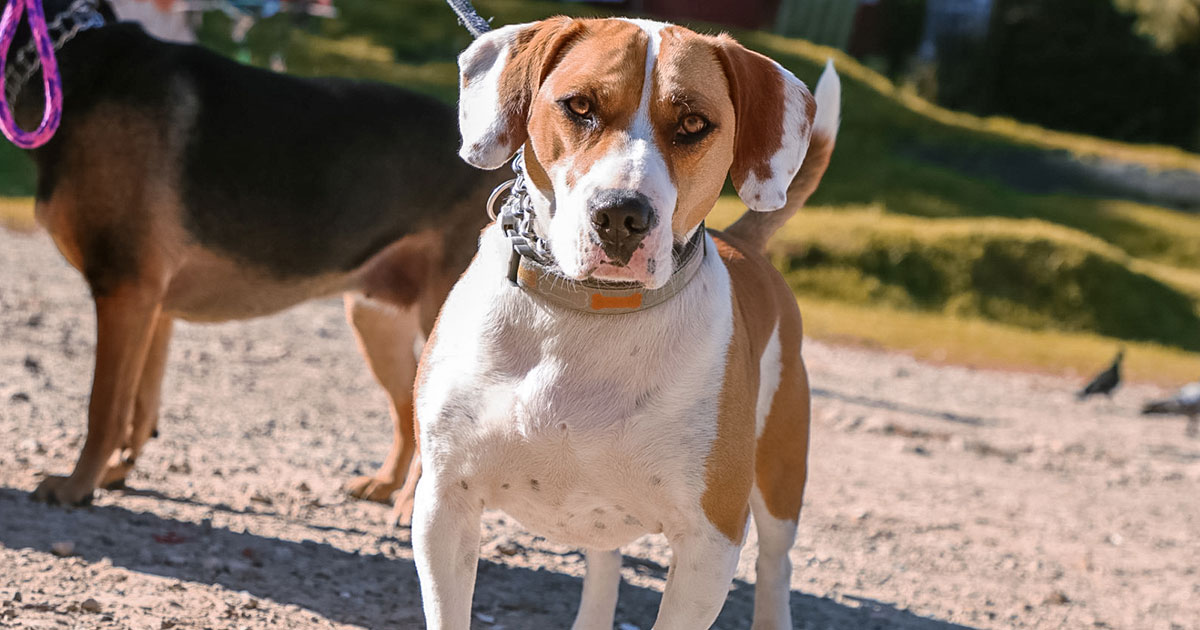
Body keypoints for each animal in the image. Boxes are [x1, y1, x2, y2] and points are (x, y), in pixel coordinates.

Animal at [9, 0, 496, 504]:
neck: (70, 53)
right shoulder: (150, 307)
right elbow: (139, 407)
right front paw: (113, 472)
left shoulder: (122, 288)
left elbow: (103, 407)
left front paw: (76, 485)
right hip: (376, 318)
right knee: (406, 408)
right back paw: (385, 484)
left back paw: (407, 507)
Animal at [408, 17, 840, 624]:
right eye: (580, 106)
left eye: (693, 123)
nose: (621, 216)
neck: (589, 314)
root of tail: (745, 241)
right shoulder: (445, 503)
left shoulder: (710, 541)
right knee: (605, 562)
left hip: (780, 476)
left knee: (776, 565)